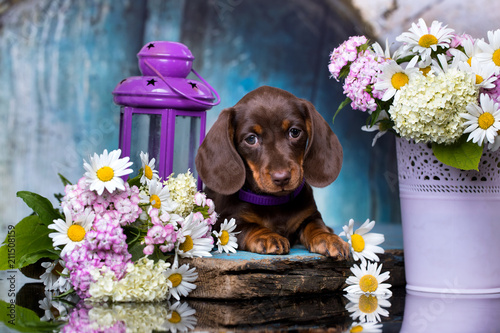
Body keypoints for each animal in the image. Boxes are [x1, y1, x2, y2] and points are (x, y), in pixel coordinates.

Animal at [193, 85, 350, 256]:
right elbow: (248, 226)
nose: (282, 178)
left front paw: (327, 237)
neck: (274, 202)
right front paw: (267, 236)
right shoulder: (226, 222)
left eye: (294, 132)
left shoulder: (311, 215)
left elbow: (315, 225)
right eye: (251, 139)